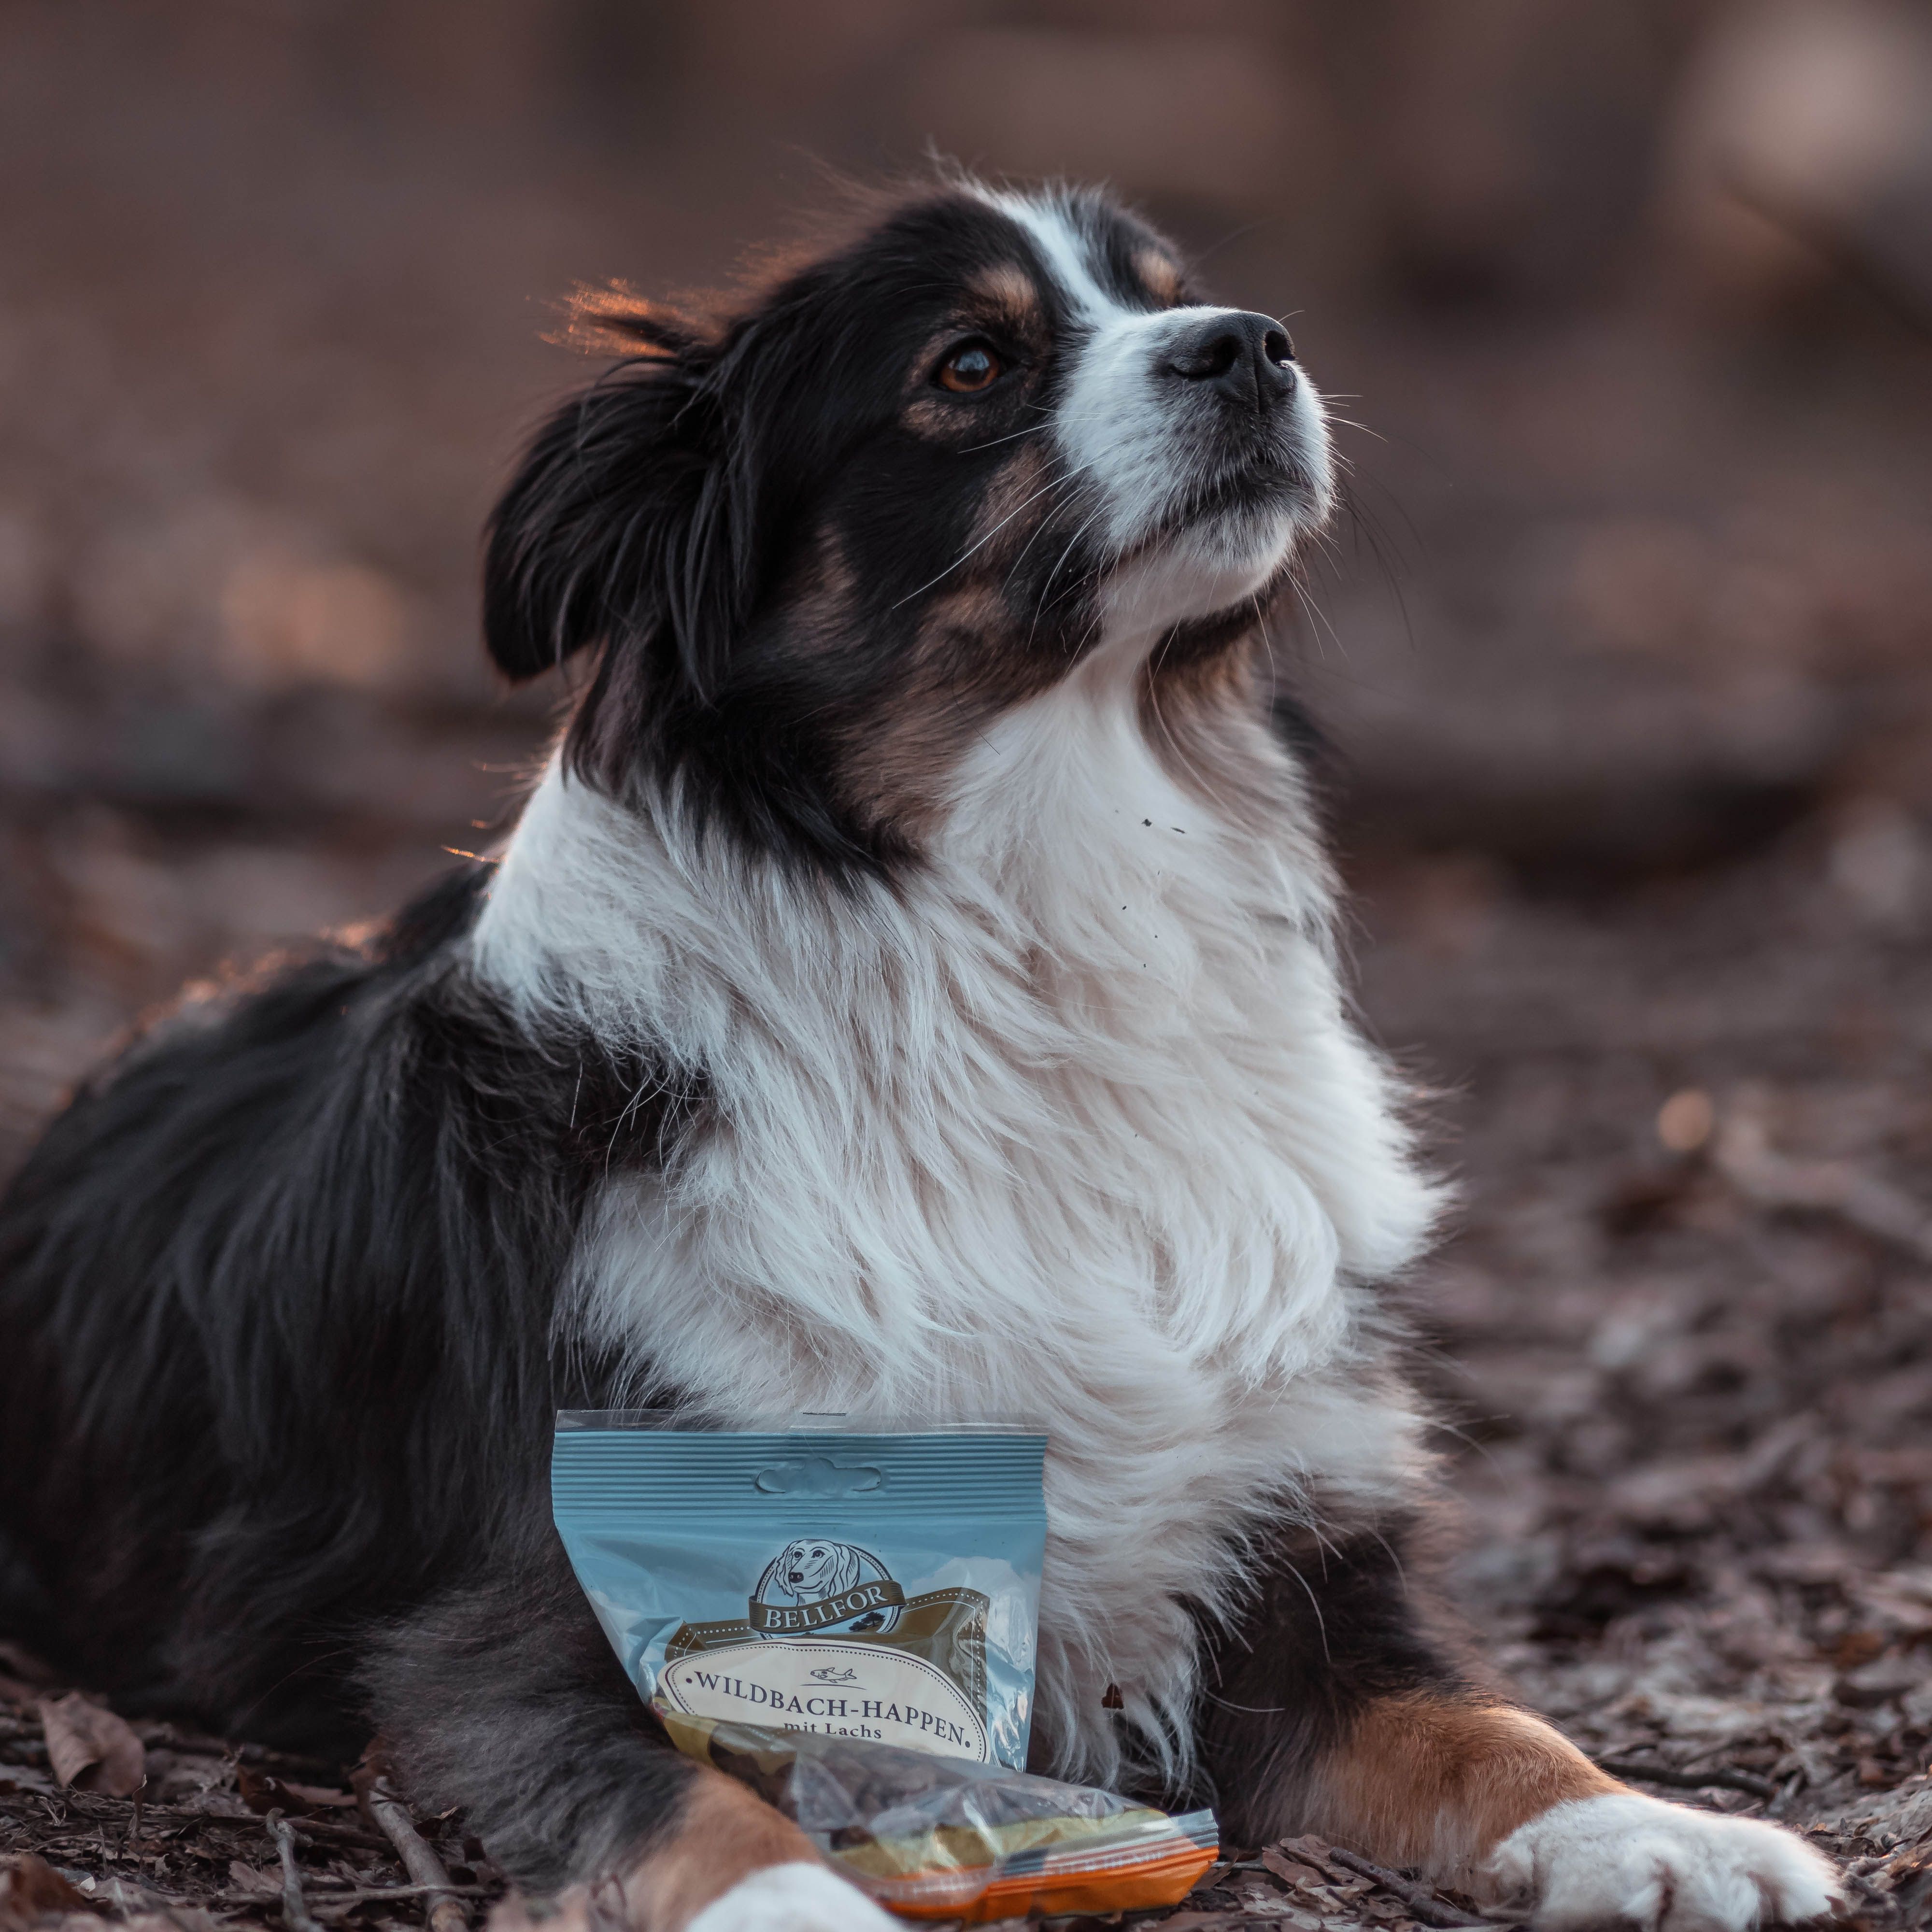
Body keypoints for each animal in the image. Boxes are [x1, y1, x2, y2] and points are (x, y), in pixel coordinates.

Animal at [0, 178, 1839, 1932]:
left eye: (1168, 293)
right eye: (968, 365)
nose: (1252, 346)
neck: (1035, 933)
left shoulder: (1296, 1558)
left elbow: (1491, 1724)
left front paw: (1658, 1829)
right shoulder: (518, 1604)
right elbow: (683, 1794)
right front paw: (795, 1898)